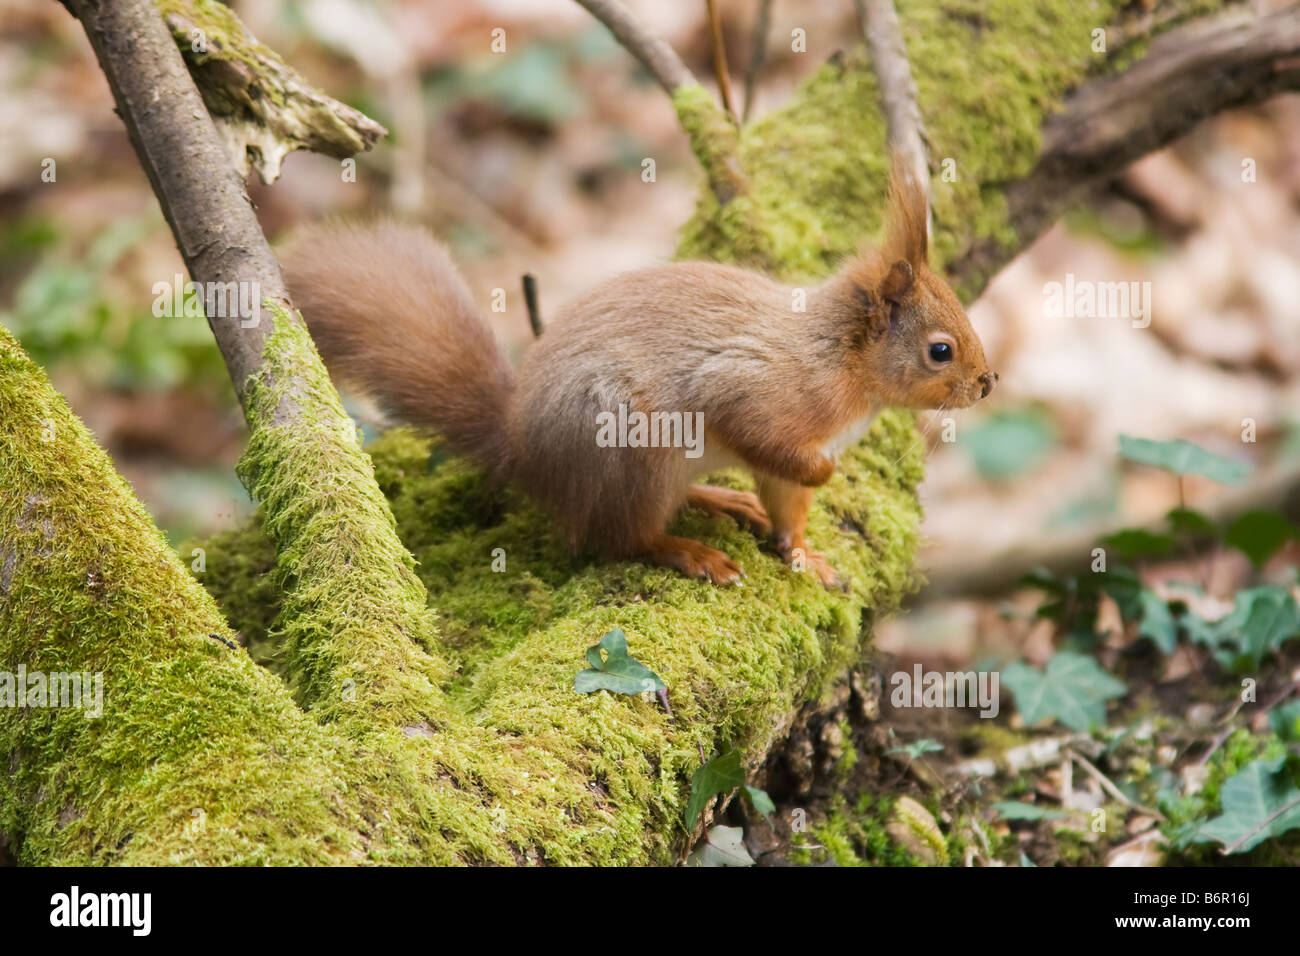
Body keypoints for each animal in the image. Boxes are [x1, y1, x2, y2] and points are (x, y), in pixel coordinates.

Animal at [282, 155, 993, 590]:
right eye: (940, 351)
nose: (987, 384)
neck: (841, 360)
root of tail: (523, 451)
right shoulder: (752, 390)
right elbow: (765, 440)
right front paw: (824, 474)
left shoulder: (784, 460)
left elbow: (788, 509)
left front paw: (804, 555)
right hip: (632, 452)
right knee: (617, 538)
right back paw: (688, 550)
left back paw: (718, 499)